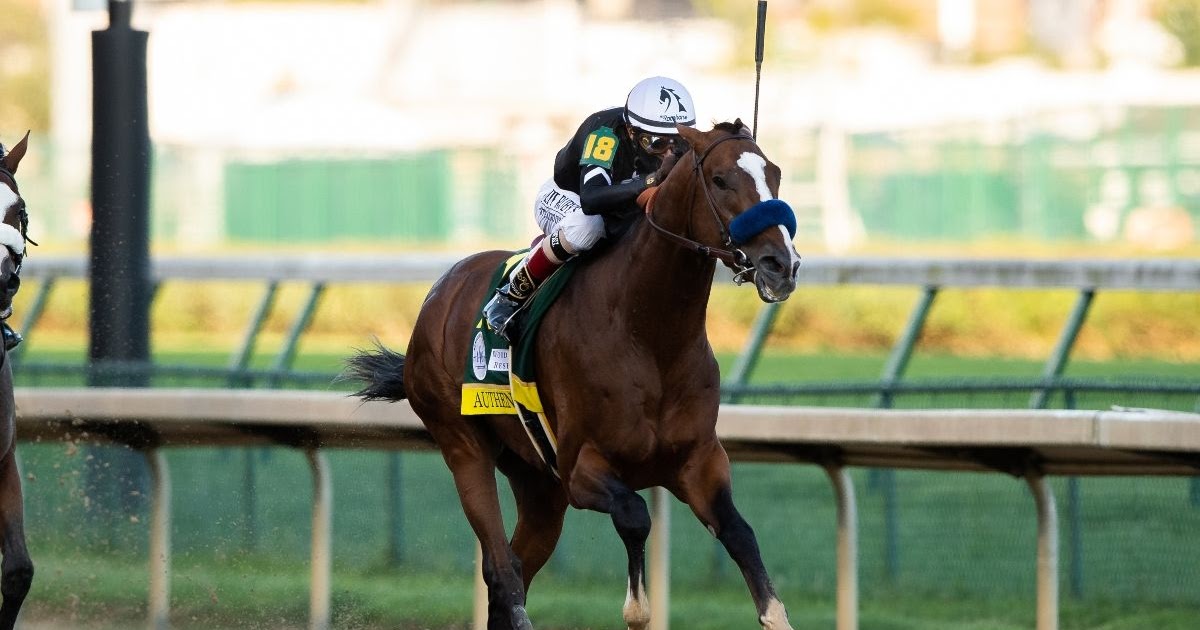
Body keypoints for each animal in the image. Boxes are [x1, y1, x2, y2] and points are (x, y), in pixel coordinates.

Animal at [347, 120, 800, 630]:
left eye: (775, 174)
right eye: (721, 180)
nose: (782, 265)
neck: (649, 335)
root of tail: (440, 291)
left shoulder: (699, 460)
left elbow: (740, 533)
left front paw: (774, 612)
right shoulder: (582, 468)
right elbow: (635, 514)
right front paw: (637, 608)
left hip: (538, 482)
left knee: (516, 564)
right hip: (462, 444)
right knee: (502, 568)